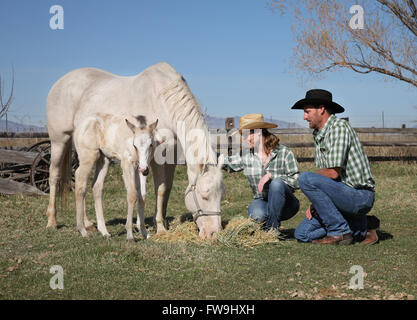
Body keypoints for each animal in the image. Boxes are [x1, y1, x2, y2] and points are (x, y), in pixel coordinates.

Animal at [72, 112, 158, 240]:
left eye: (151, 144)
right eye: (135, 145)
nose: (144, 169)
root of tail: (80, 126)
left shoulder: (141, 168)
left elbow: (142, 195)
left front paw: (144, 233)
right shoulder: (127, 164)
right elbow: (132, 194)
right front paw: (129, 235)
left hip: (104, 160)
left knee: (97, 187)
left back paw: (104, 231)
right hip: (88, 158)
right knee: (80, 182)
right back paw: (83, 230)